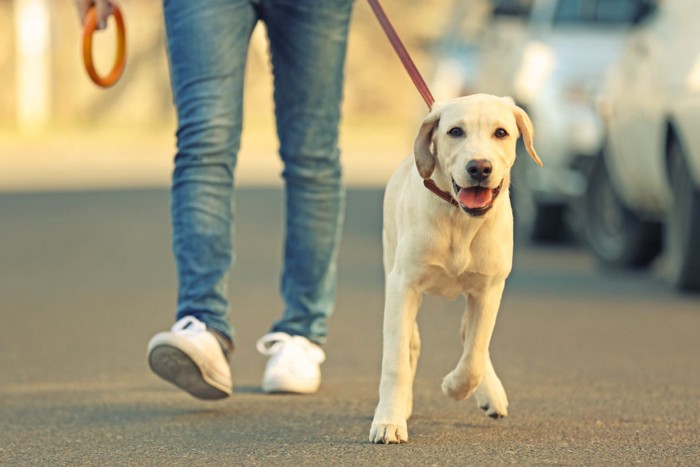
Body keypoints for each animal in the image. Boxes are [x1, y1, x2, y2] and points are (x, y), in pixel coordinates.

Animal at [372, 93, 540, 444]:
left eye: (501, 133)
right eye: (455, 132)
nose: (479, 167)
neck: (459, 221)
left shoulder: (489, 289)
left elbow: (475, 353)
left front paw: (455, 386)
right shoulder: (403, 285)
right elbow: (396, 360)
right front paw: (389, 420)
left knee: (471, 335)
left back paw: (491, 393)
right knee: (412, 341)